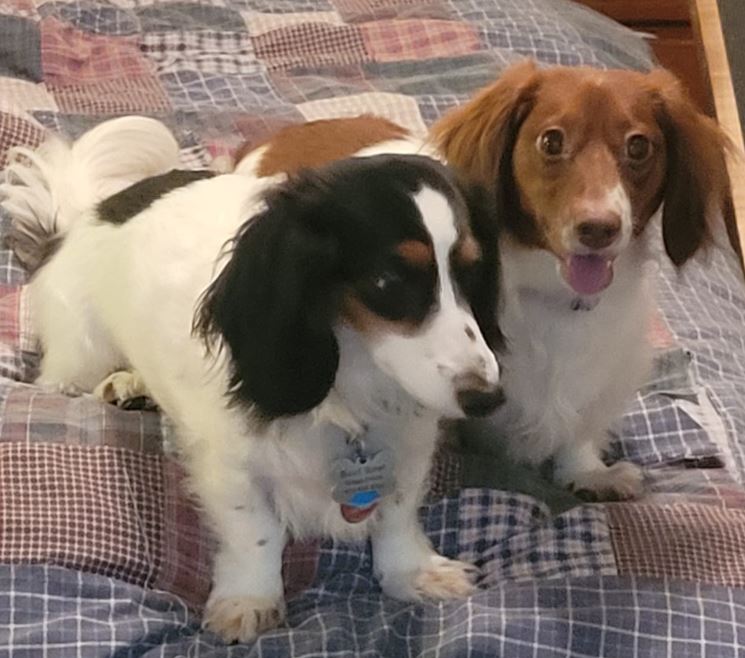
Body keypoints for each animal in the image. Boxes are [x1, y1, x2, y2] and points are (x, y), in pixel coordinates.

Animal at [0, 118, 506, 640]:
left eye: (473, 272)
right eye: (387, 280)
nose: (488, 398)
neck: (353, 383)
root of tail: (92, 212)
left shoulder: (408, 445)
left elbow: (397, 514)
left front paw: (413, 572)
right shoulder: (231, 465)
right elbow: (255, 532)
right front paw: (250, 599)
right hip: (82, 350)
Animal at [230, 61, 728, 500]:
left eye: (639, 147)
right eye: (551, 141)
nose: (598, 228)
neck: (553, 297)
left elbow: (578, 427)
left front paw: (587, 470)